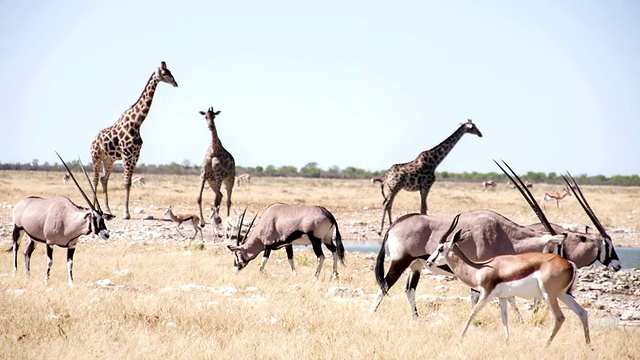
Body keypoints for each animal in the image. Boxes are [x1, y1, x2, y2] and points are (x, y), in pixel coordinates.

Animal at [90, 61, 178, 218]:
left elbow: (129, 182)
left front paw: (126, 212)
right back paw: (95, 209)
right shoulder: (127, 155)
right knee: (94, 179)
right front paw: (126, 213)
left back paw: (108, 210)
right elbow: (126, 182)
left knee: (103, 179)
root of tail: (92, 141)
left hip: (109, 159)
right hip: (96, 157)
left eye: (170, 71)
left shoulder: (135, 156)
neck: (137, 123)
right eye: (165, 73)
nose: (175, 83)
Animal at [428, 214, 592, 346]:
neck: (480, 269)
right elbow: (504, 319)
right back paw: (588, 345)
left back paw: (546, 345)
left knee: (560, 317)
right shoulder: (503, 297)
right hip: (563, 294)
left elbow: (472, 314)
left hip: (549, 295)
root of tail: (570, 264)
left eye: (441, 249)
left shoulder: (486, 294)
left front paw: (459, 340)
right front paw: (507, 342)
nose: (429, 261)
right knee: (582, 313)